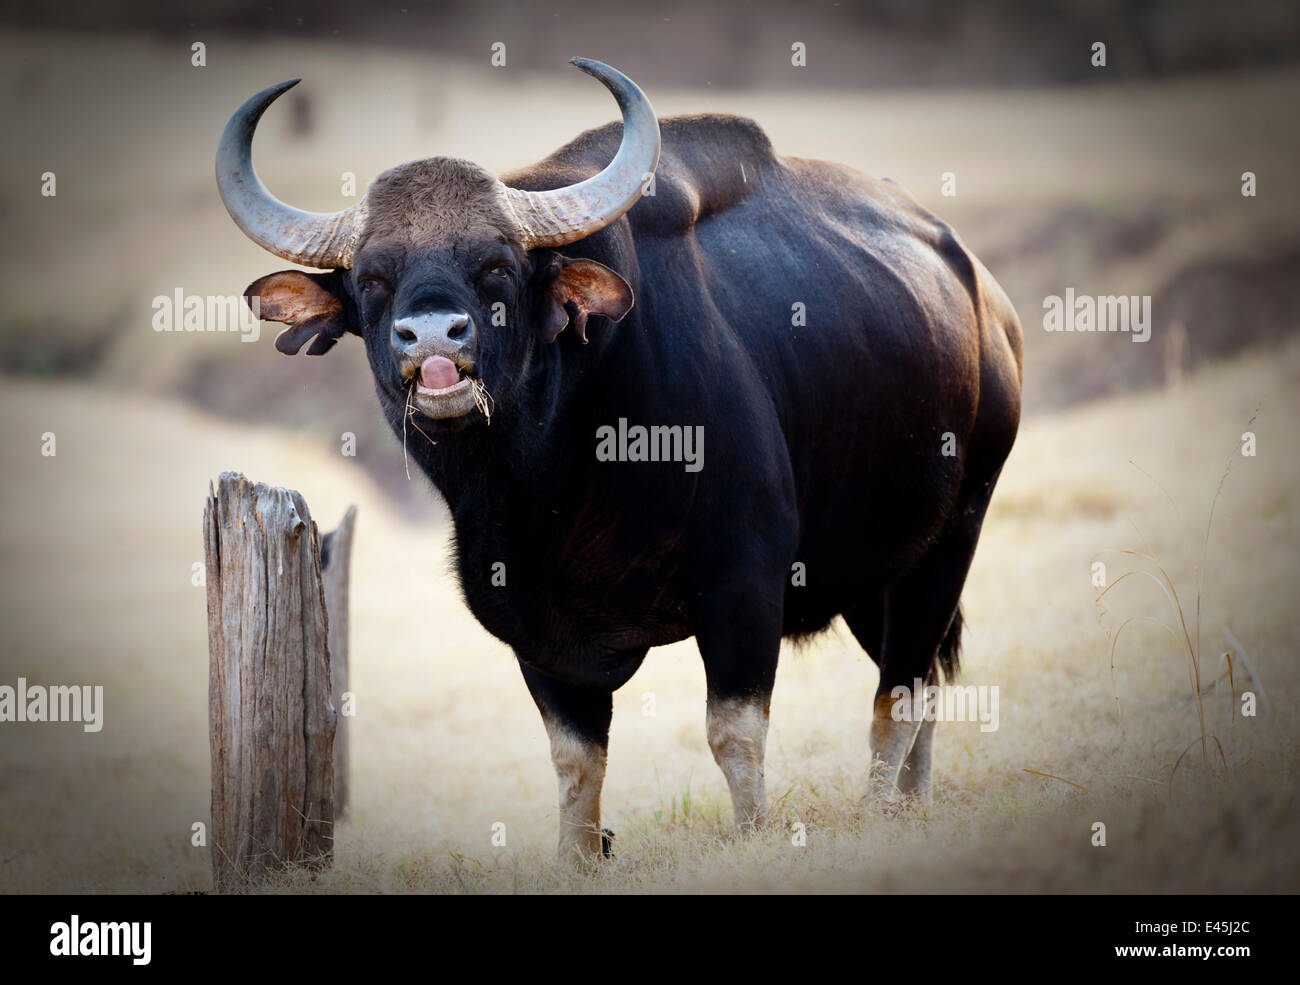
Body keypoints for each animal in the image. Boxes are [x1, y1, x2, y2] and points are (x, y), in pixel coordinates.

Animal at [215, 59, 1024, 862]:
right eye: (372, 280)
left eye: (498, 268)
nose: (434, 337)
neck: (553, 479)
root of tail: (988, 304)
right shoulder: (534, 629)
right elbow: (576, 759)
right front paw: (577, 857)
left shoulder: (744, 584)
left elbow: (734, 733)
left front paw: (753, 834)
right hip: (871, 575)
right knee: (921, 681)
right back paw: (912, 804)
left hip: (952, 537)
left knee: (901, 690)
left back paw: (882, 807)